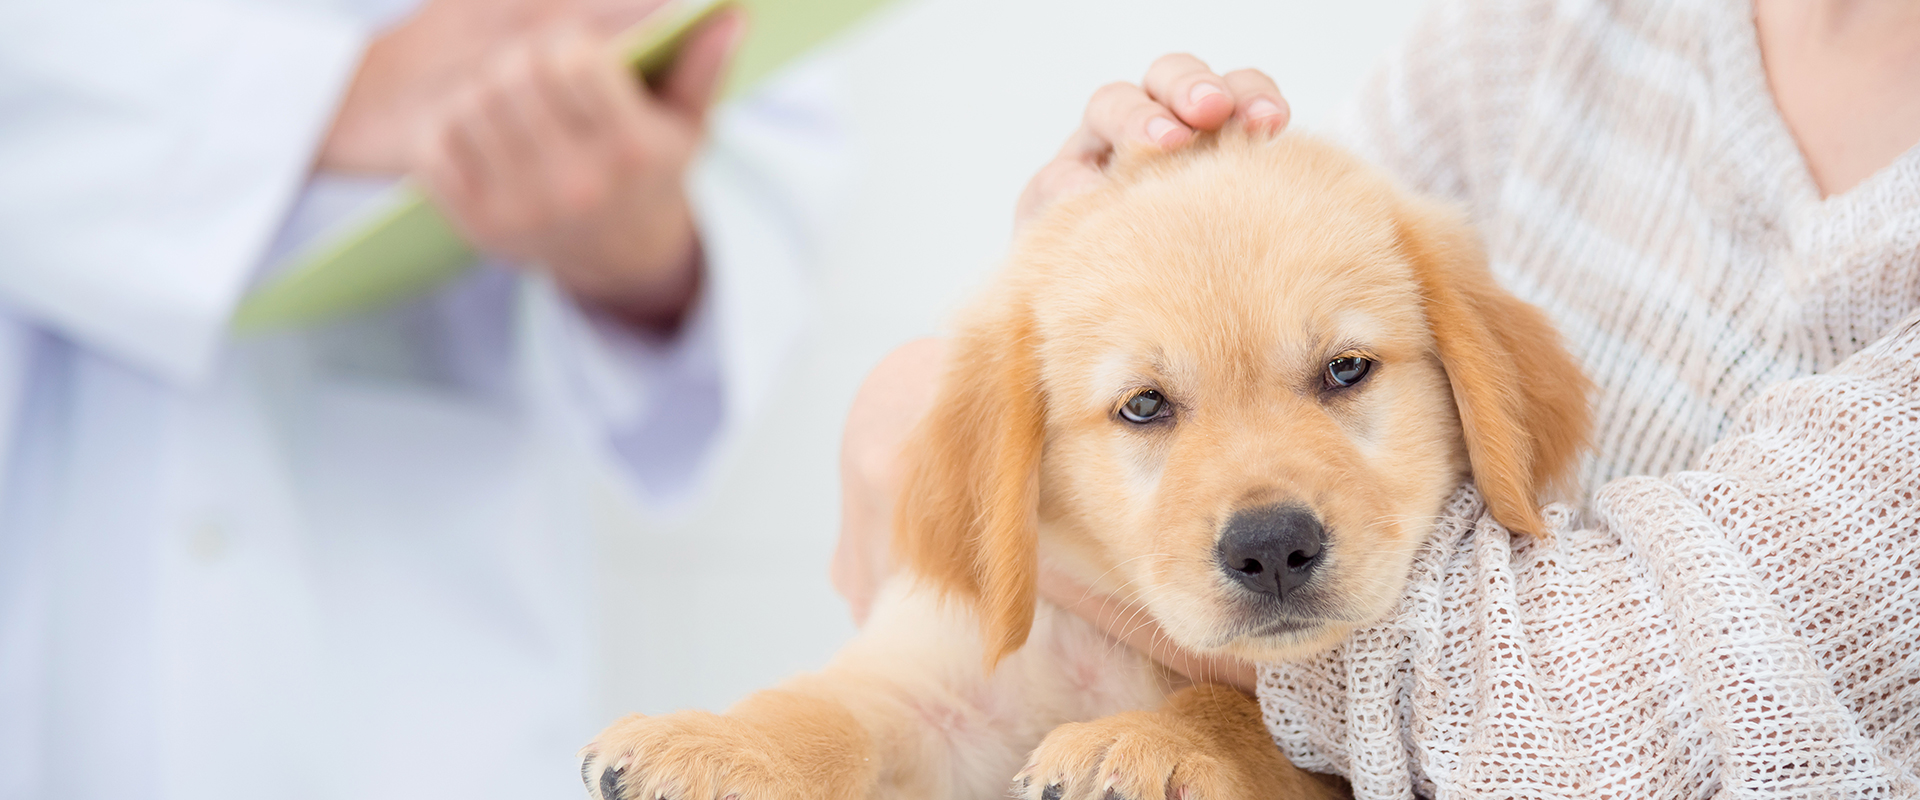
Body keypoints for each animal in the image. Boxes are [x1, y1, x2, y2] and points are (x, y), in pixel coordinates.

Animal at [579, 129, 1589, 798]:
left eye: (1346, 370)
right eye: (1143, 406)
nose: (1272, 549)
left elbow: (1242, 713)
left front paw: (1152, 744)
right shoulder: (946, 682)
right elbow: (831, 709)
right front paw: (717, 744)